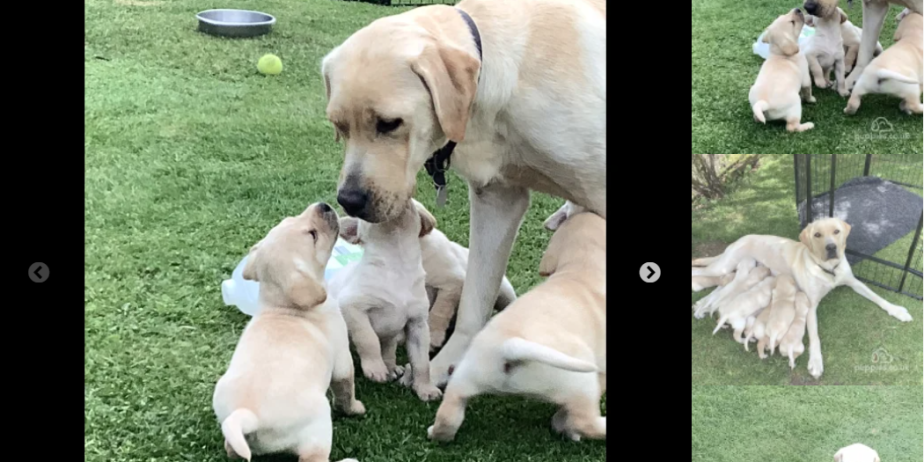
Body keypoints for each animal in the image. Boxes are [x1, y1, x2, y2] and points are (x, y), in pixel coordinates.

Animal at [214, 204, 364, 462]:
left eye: (290, 218)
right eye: (313, 235)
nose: (324, 205)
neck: (282, 306)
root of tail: (247, 414)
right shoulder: (342, 359)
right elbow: (346, 390)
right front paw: (355, 409)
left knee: (231, 449)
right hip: (319, 424)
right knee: (314, 457)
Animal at [328, 199, 444, 400]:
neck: (398, 263)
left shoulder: (418, 325)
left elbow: (422, 362)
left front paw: (425, 388)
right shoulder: (351, 306)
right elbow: (368, 338)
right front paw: (375, 368)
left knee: (389, 349)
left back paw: (392, 367)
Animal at [426, 211, 608, 442]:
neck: (580, 268)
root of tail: (511, 347)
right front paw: (564, 426)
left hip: (465, 376)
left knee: (449, 415)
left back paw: (435, 432)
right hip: (579, 382)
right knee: (585, 421)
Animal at [692, 217, 908, 378]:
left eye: (836, 231)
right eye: (817, 235)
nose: (831, 247)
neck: (829, 270)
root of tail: (740, 238)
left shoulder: (853, 282)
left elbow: (877, 297)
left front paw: (897, 310)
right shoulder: (810, 305)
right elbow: (815, 336)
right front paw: (816, 361)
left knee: (718, 289)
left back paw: (702, 306)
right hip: (723, 266)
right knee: (700, 272)